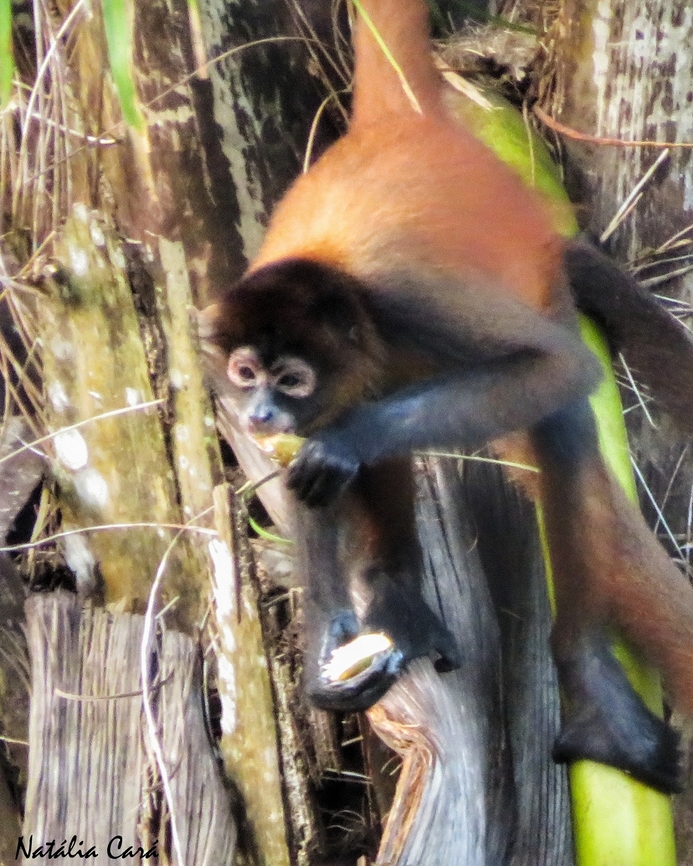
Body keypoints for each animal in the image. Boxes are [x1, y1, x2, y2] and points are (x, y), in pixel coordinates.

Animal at [201, 0, 693, 794]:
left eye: (290, 378)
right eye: (246, 373)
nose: (262, 411)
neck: (333, 269)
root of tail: (401, 122)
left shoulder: (408, 299)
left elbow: (557, 370)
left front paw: (341, 442)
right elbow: (309, 476)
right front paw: (329, 646)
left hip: (529, 260)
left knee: (554, 412)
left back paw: (592, 696)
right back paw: (395, 594)